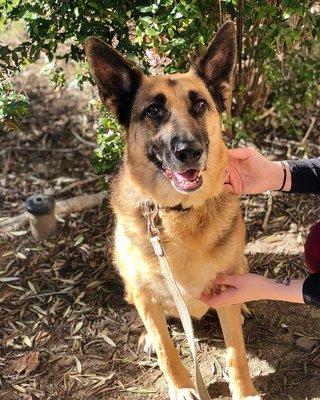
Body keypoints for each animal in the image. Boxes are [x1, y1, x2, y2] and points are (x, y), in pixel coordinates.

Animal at [86, 22, 262, 400]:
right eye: (153, 111)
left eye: (200, 104)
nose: (189, 151)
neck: (177, 213)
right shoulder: (144, 295)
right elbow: (168, 350)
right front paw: (182, 386)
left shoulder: (225, 289)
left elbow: (236, 354)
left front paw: (245, 391)